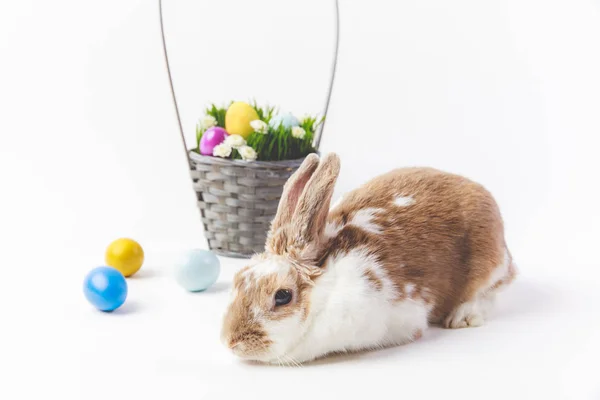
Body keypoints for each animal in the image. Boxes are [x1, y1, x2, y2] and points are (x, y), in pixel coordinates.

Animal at [219, 152, 516, 364]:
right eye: (238, 280)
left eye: (282, 296)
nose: (231, 341)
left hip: (489, 266)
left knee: (487, 294)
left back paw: (461, 318)